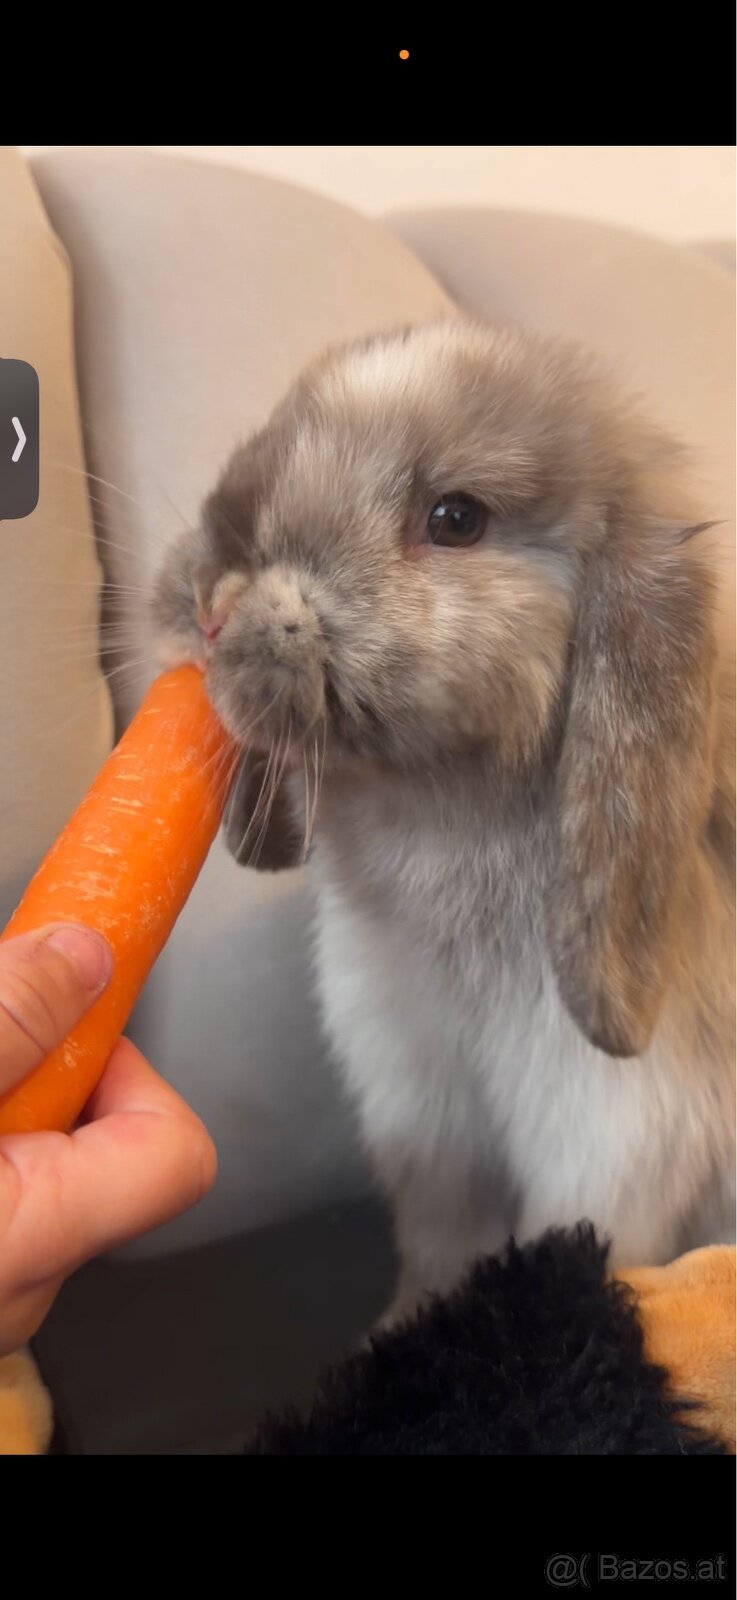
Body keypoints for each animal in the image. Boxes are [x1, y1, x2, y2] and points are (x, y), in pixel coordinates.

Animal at [152, 317, 735, 1327]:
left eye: (456, 520)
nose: (212, 602)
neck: (433, 811)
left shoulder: (613, 1135)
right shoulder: (420, 1111)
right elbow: (439, 1243)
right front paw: (397, 1327)